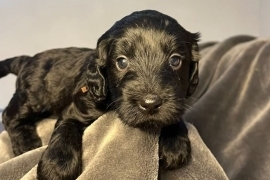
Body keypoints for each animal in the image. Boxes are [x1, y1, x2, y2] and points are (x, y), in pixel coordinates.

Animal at [0, 10, 198, 180]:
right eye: (122, 62)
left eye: (175, 60)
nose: (150, 103)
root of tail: (28, 59)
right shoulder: (77, 108)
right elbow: (65, 129)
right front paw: (56, 166)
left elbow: (174, 114)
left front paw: (175, 143)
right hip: (34, 94)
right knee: (10, 114)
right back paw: (26, 144)